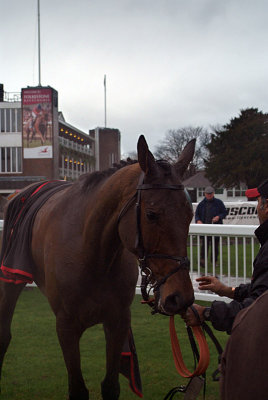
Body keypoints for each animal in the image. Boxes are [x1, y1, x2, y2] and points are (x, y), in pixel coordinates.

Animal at [0, 136, 196, 398]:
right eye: (151, 214)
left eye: (189, 214)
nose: (180, 296)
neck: (92, 254)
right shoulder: (66, 327)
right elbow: (78, 389)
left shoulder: (117, 322)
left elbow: (110, 386)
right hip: (9, 279)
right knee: (3, 334)